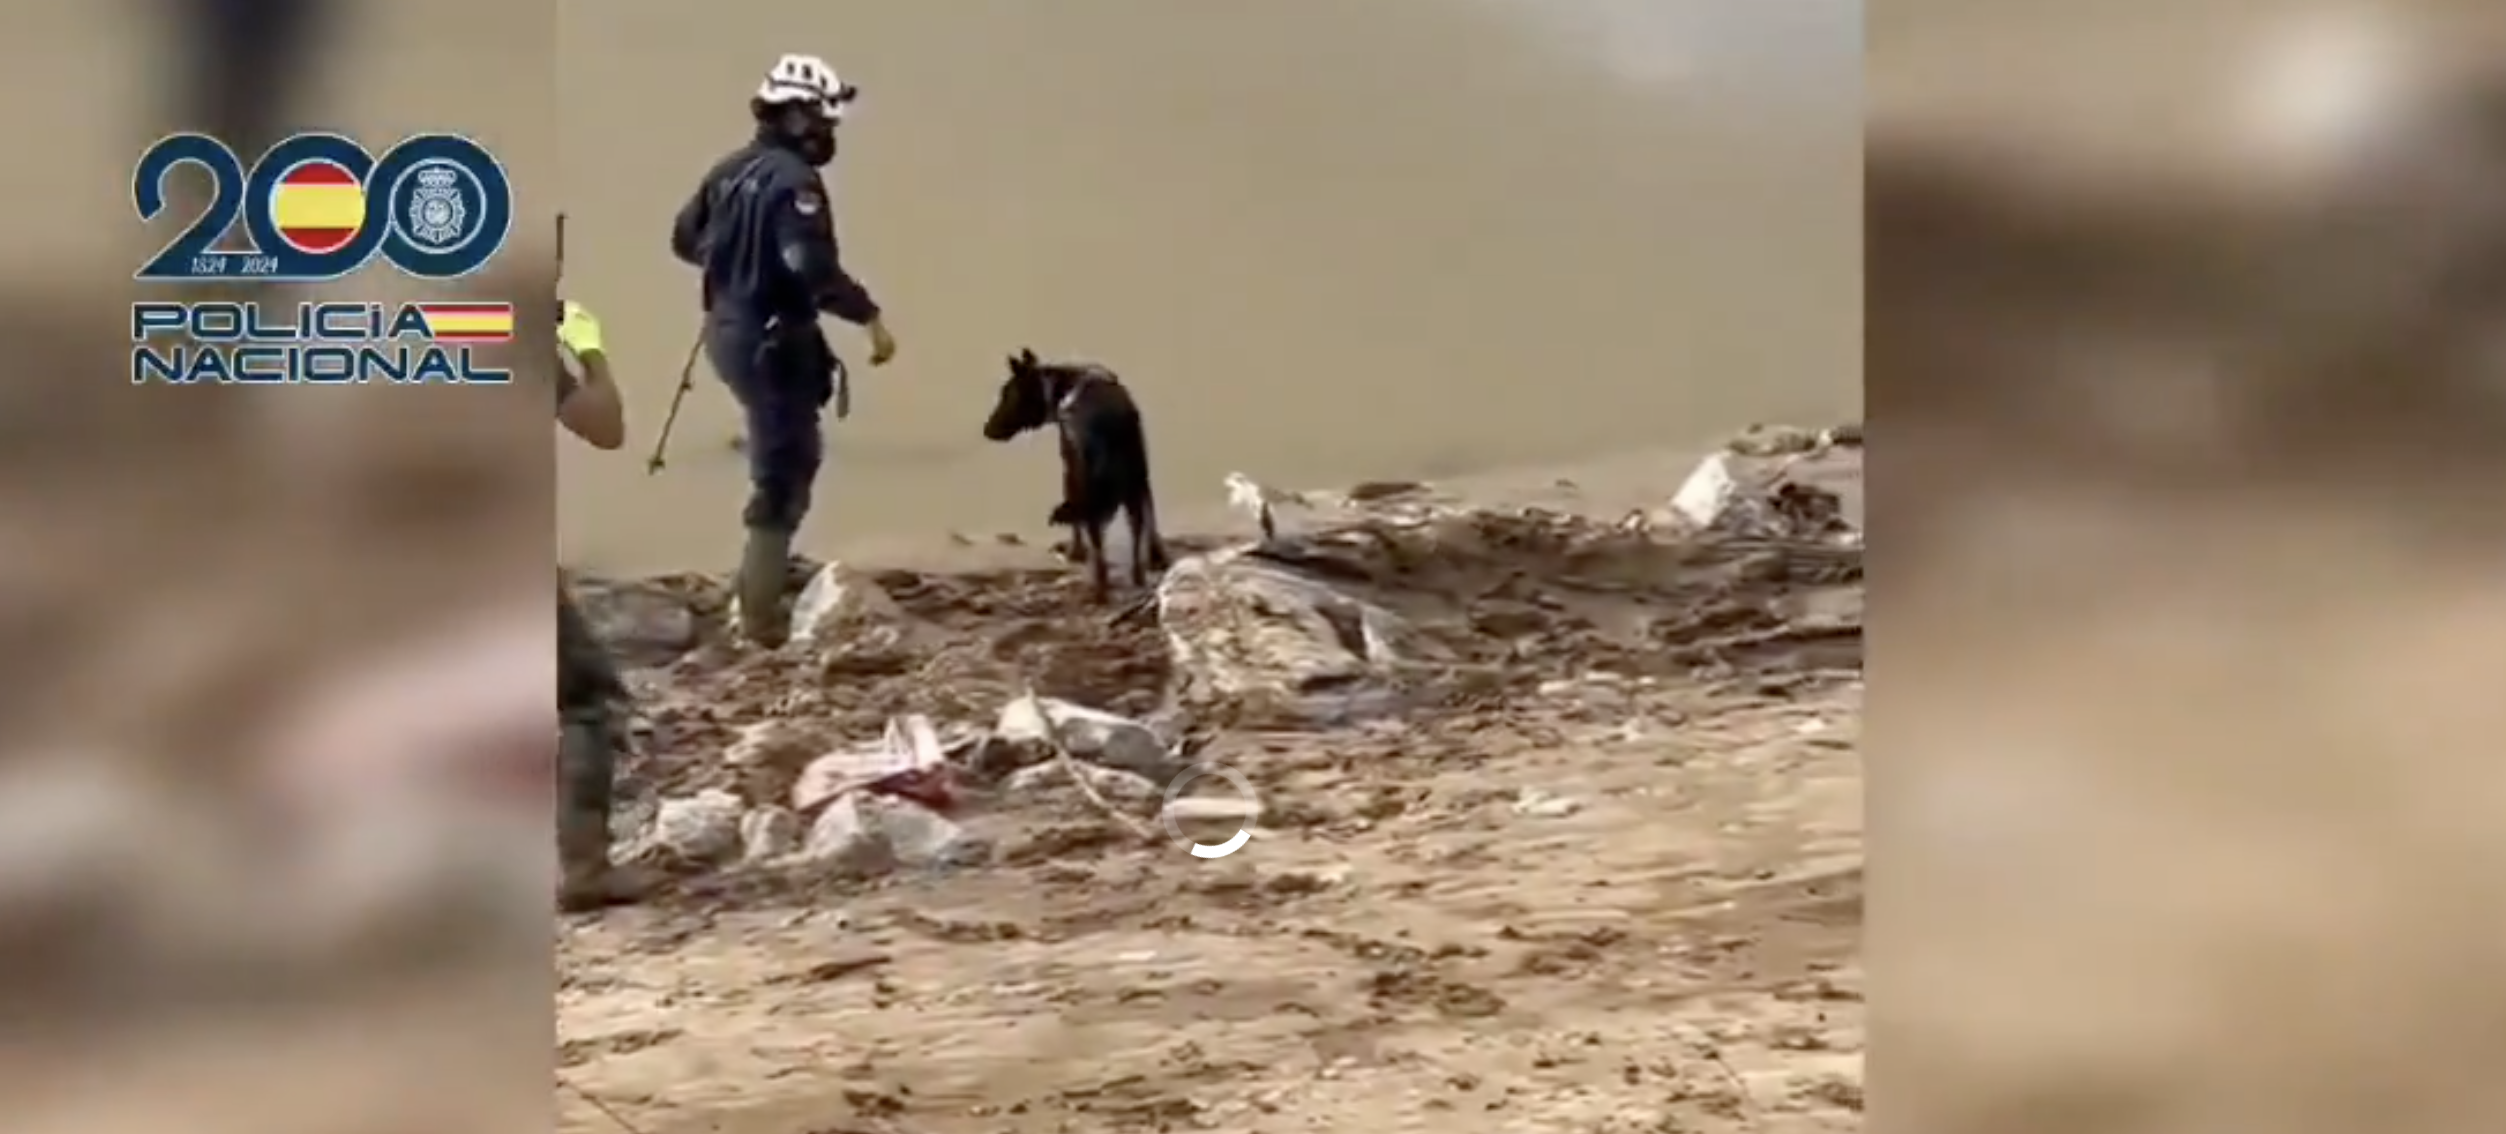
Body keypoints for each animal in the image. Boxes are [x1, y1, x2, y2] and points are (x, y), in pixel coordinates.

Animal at [982, 347, 1167, 595]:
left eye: (1005, 394)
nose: (987, 430)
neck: (1060, 387)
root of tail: (1109, 426)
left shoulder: (1069, 468)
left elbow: (1076, 524)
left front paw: (1074, 552)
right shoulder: (1141, 478)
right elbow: (1151, 520)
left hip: (1091, 485)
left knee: (1099, 549)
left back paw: (1098, 588)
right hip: (1131, 482)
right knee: (1136, 534)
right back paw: (1136, 579)